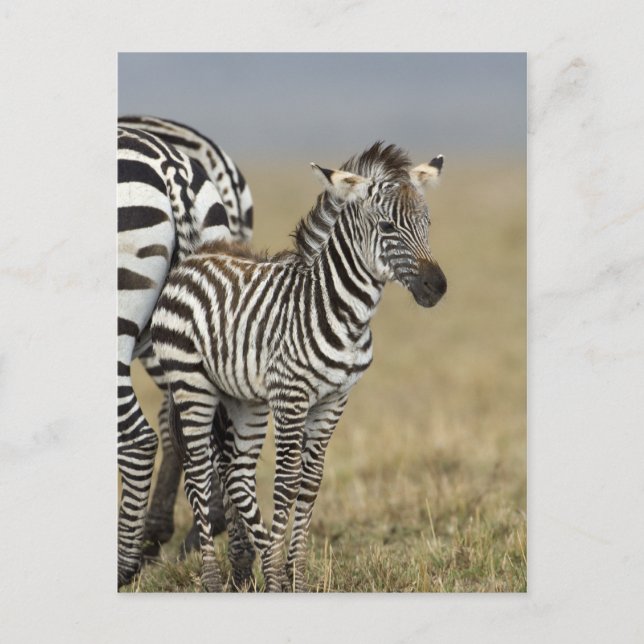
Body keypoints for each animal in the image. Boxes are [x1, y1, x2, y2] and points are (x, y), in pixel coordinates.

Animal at [151, 142, 447, 591]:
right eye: (387, 227)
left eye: (426, 223)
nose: (437, 287)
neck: (341, 312)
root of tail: (195, 256)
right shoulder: (291, 397)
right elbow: (286, 483)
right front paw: (280, 580)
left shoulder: (334, 401)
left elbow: (309, 483)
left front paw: (296, 577)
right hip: (191, 384)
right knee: (201, 473)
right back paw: (214, 580)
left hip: (244, 399)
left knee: (237, 473)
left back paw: (264, 563)